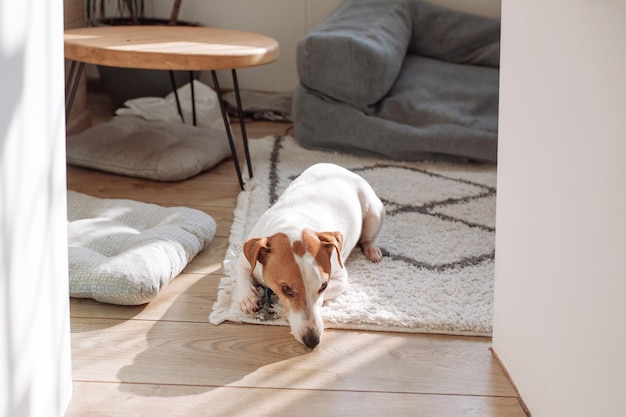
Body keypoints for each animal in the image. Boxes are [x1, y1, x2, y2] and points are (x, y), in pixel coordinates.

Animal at [235, 162, 386, 348]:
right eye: (286, 289)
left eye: (323, 286)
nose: (312, 341)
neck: (292, 225)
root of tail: (340, 168)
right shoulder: (245, 260)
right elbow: (242, 276)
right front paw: (248, 298)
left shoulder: (339, 279)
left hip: (374, 212)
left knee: (368, 238)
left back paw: (372, 250)